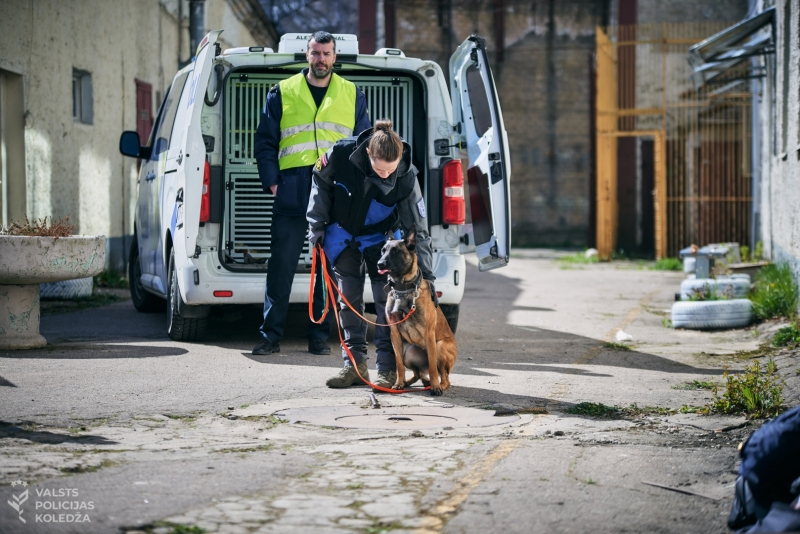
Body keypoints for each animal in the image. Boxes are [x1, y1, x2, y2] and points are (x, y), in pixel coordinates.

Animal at [376, 226, 456, 398]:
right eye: (383, 250)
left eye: (396, 251)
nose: (379, 264)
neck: (402, 290)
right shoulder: (394, 334)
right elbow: (399, 365)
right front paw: (398, 383)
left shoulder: (429, 333)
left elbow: (432, 367)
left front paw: (435, 387)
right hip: (408, 352)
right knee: (418, 373)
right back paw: (410, 383)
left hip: (440, 347)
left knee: (444, 377)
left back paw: (437, 385)